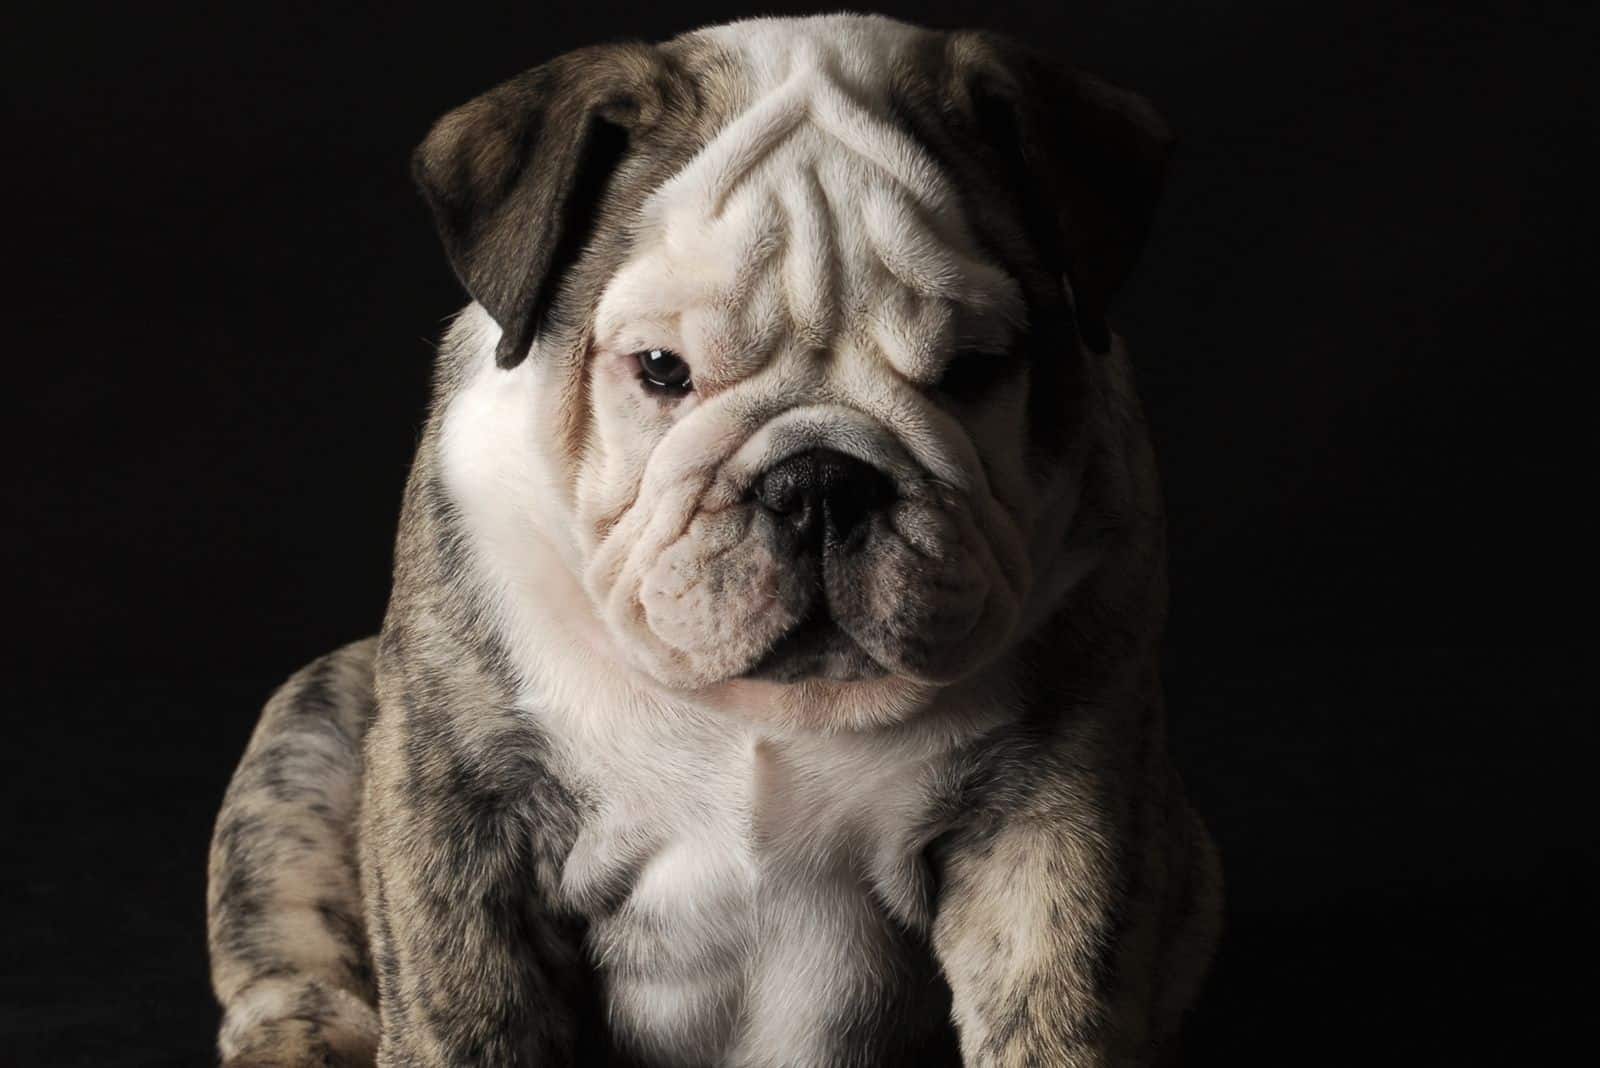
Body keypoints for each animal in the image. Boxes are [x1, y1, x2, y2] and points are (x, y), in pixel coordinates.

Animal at [206, 10, 1216, 1068]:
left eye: (973, 370)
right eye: (661, 368)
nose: (820, 483)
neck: (766, 709)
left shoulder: (1049, 819)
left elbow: (1055, 1017)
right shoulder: (465, 809)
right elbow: (466, 1013)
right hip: (312, 728)